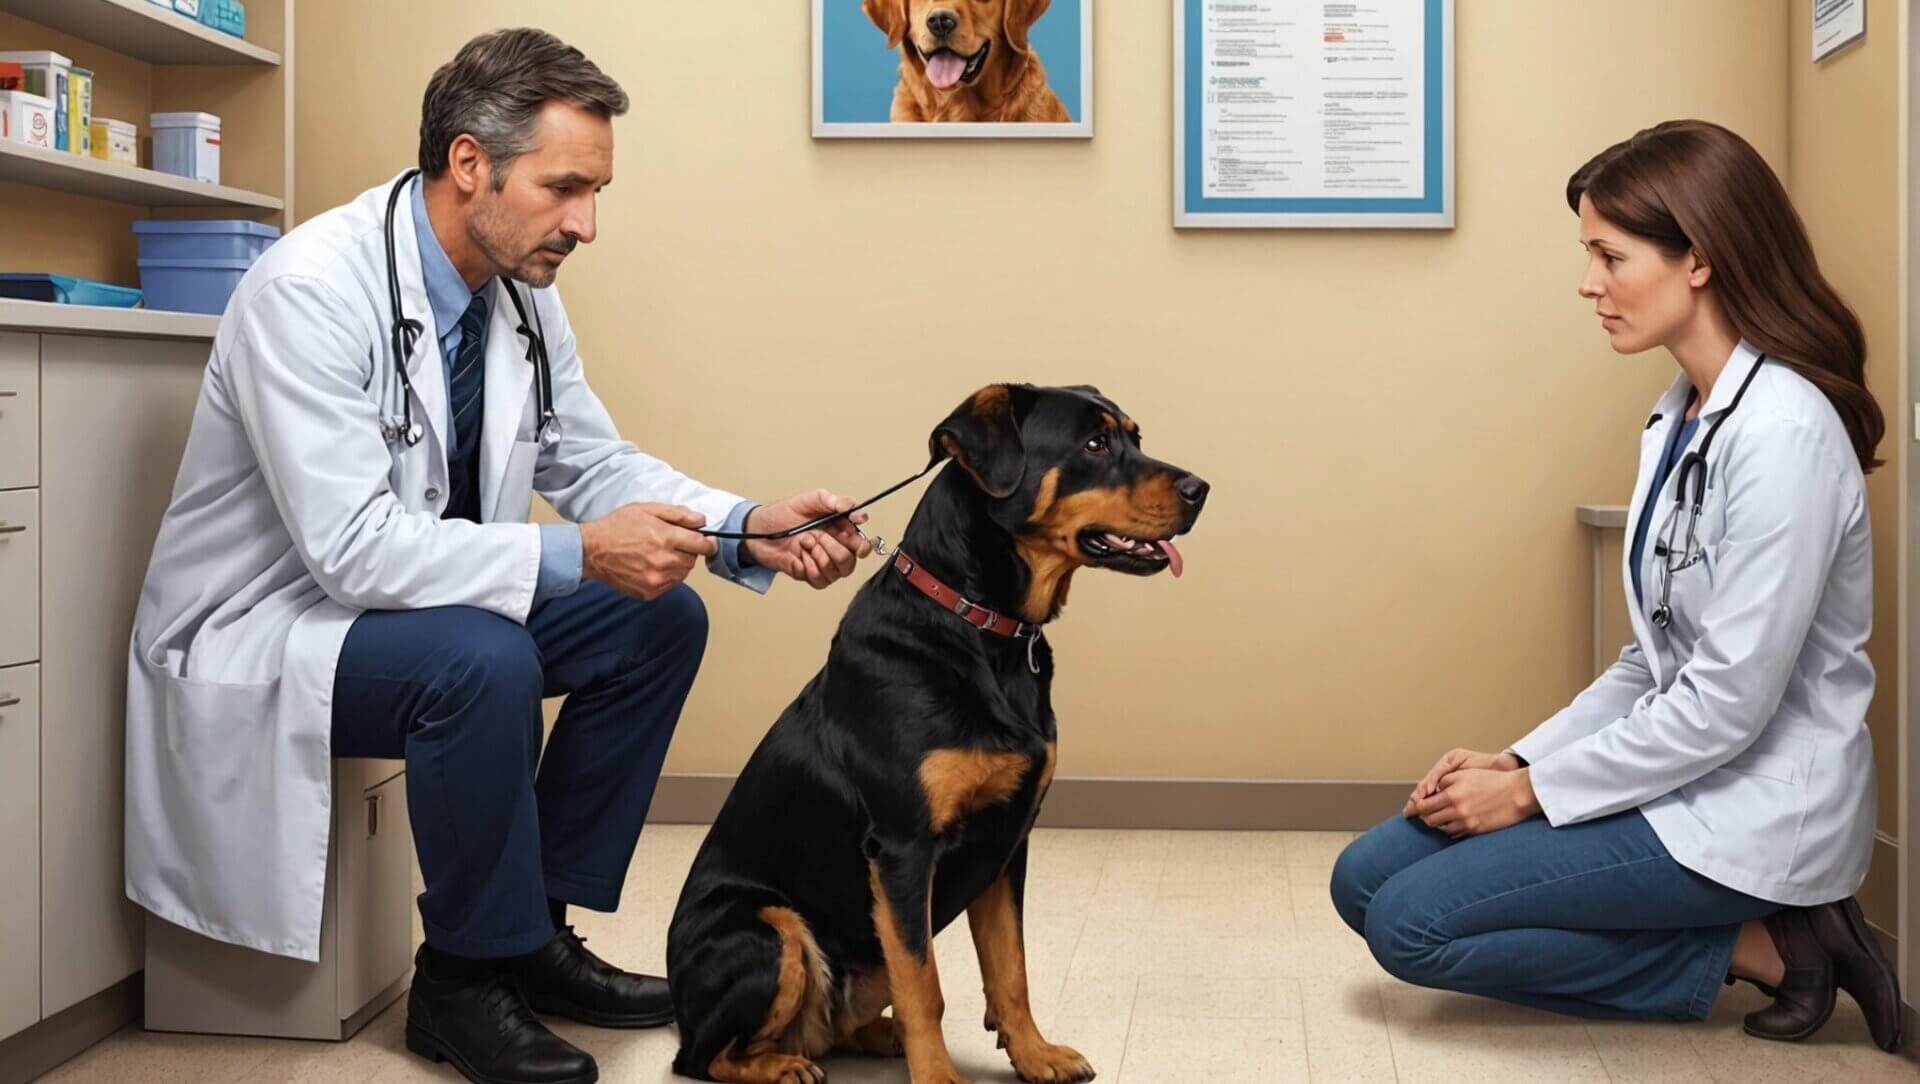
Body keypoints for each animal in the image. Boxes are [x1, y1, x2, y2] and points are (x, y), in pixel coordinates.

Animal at [672, 383, 1198, 1074]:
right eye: (1094, 443)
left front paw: (1033, 1053)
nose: (1201, 488)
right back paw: (782, 1064)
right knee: (705, 1055)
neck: (983, 627)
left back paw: (877, 1038)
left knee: (830, 1024)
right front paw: (940, 1076)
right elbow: (925, 983)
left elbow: (1010, 967)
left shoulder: (1007, 841)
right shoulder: (904, 847)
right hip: (766, 924)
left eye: (1135, 436)